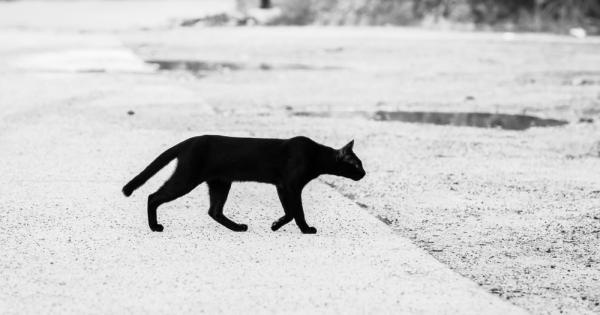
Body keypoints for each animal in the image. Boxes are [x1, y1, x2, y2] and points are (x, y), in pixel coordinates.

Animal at [122, 136, 366, 235]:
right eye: (357, 164)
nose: (364, 173)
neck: (316, 156)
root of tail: (188, 141)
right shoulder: (291, 184)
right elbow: (297, 211)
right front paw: (306, 230)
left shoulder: (282, 186)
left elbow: (289, 211)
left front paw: (275, 225)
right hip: (187, 178)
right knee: (153, 196)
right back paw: (155, 227)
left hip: (220, 183)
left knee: (214, 211)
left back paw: (238, 227)